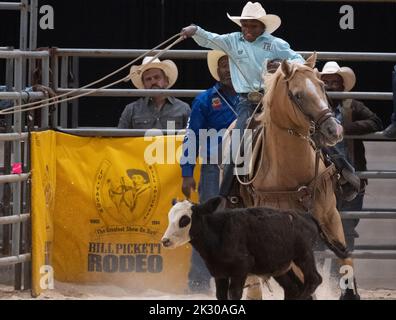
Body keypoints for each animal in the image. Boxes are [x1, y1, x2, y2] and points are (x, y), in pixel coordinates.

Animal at [161, 195, 322, 300]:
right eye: (169, 217)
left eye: (185, 220)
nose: (165, 241)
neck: (219, 232)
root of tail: (306, 216)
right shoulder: (219, 273)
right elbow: (221, 296)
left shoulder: (241, 269)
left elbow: (234, 294)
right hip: (280, 267)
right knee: (293, 288)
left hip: (304, 255)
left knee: (314, 280)